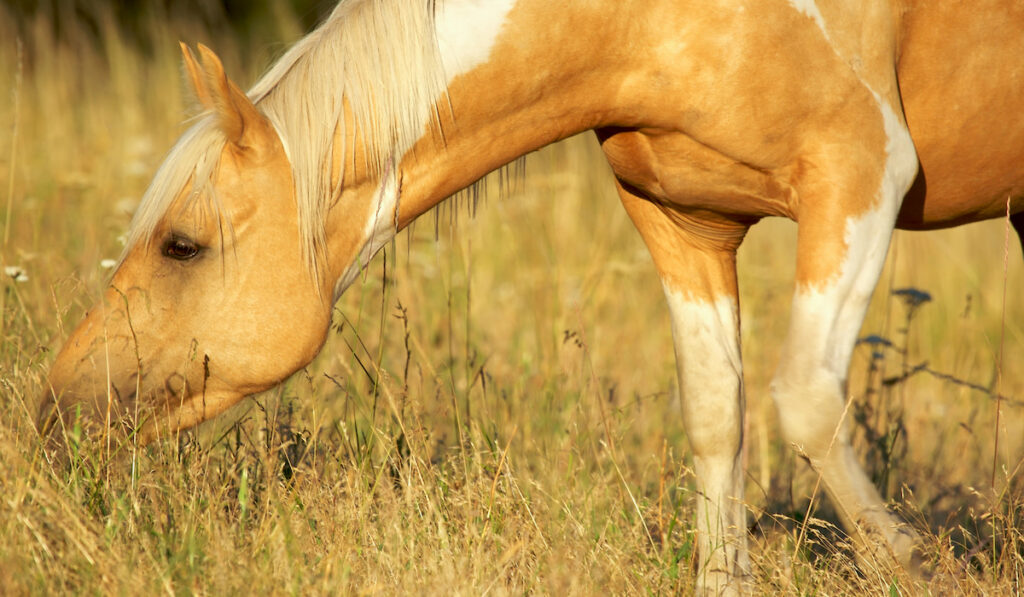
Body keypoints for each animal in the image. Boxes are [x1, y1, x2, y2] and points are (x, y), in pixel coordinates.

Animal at [37, 1, 1024, 593]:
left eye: (182, 244)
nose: (56, 408)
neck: (649, 24)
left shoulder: (858, 178)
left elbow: (807, 401)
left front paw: (911, 560)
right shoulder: (684, 224)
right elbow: (717, 414)